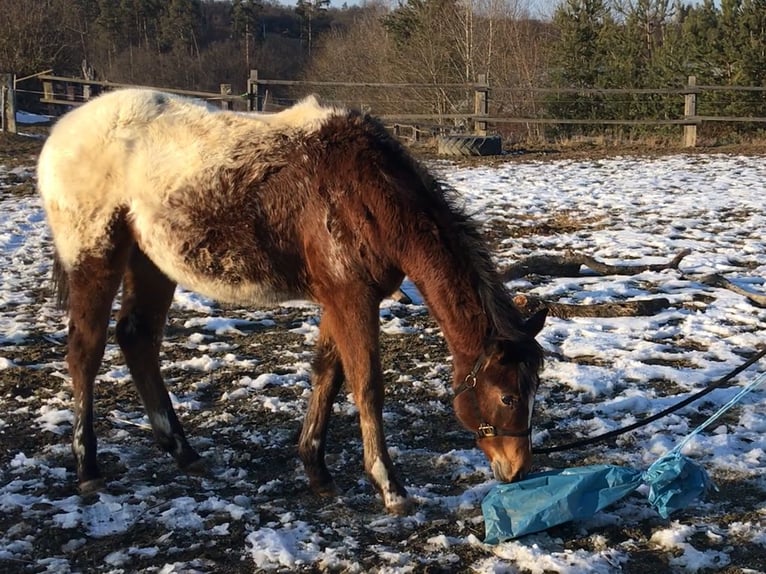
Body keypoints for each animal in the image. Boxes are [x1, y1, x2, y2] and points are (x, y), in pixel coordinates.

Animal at [39, 91, 548, 516]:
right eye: (507, 396)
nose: (518, 468)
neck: (365, 191)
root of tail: (60, 134)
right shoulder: (352, 297)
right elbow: (367, 386)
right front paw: (389, 487)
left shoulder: (339, 299)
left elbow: (328, 373)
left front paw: (316, 470)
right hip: (95, 257)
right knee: (85, 352)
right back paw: (88, 470)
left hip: (150, 262)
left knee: (137, 338)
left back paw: (183, 451)